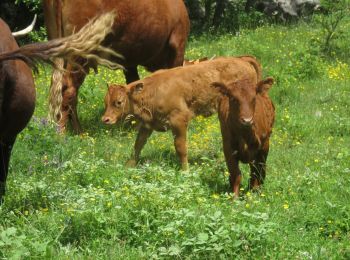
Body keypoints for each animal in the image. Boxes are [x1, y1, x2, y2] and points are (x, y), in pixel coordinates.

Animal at [43, 0, 191, 133]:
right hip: (80, 50)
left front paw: (133, 123)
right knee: (68, 89)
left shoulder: (129, 60)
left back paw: (76, 131)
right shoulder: (178, 44)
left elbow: (133, 86)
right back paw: (64, 133)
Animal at [101, 56, 262, 170]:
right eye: (105, 101)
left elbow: (181, 148)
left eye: (119, 102)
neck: (153, 91)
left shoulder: (179, 121)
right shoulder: (147, 125)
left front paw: (185, 170)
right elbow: (138, 144)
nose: (105, 119)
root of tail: (242, 60)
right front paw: (129, 165)